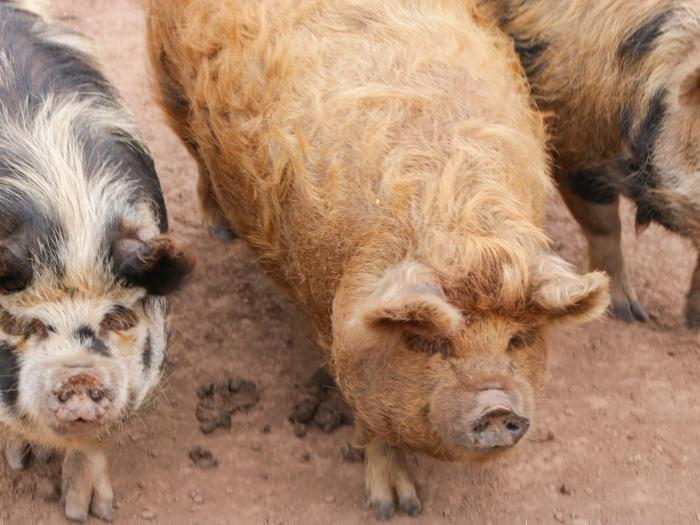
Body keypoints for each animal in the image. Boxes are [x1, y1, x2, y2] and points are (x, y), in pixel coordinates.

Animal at [0, 2, 193, 520]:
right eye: (24, 324)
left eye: (117, 317)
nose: (80, 373)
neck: (65, 221)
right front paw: (20, 461)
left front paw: (90, 511)